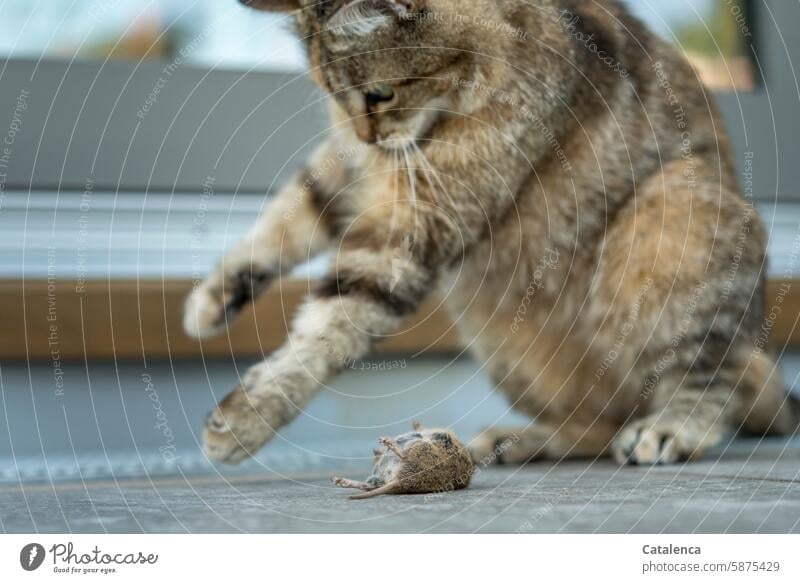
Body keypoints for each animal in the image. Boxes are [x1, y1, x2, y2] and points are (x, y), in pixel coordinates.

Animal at [184, 0, 796, 466]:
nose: (366, 132)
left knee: (710, 377)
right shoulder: (353, 171)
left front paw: (246, 417)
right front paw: (212, 300)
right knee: (603, 420)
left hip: (672, 227)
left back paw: (673, 427)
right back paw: (526, 440)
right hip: (499, 338)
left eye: (381, 93)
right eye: (332, 94)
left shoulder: (416, 222)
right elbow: (288, 218)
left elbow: (330, 326)